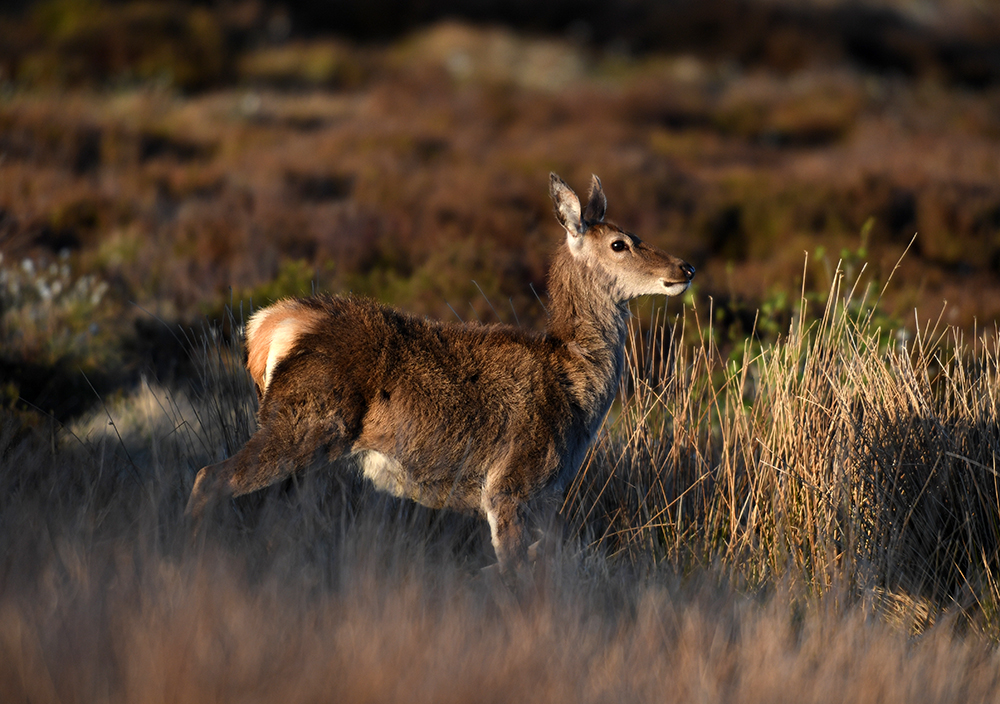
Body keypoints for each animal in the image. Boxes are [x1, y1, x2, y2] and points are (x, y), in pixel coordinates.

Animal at [185, 173, 694, 575]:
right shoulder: (510, 483)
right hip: (303, 422)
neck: (575, 388)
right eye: (619, 243)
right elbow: (515, 572)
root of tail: (269, 326)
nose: (685, 267)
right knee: (209, 477)